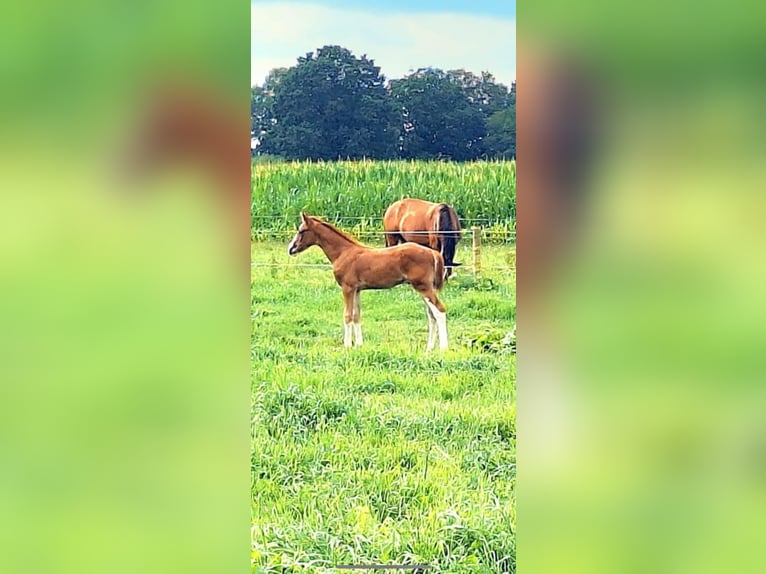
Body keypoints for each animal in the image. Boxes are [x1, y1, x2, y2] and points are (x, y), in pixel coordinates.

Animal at [286, 215, 450, 354]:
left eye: (301, 230)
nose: (291, 249)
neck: (343, 252)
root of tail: (433, 253)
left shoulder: (347, 288)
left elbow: (347, 315)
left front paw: (347, 345)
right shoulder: (357, 290)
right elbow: (356, 315)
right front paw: (359, 345)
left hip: (423, 287)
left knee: (439, 311)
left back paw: (443, 348)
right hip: (426, 288)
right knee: (431, 315)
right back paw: (429, 348)